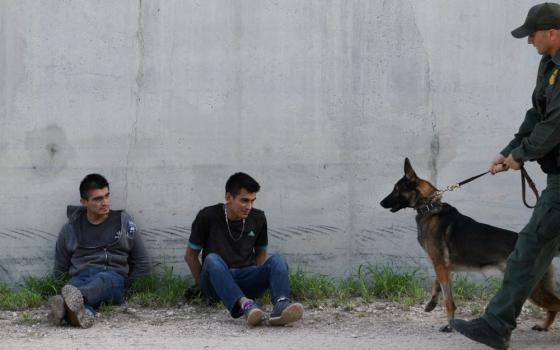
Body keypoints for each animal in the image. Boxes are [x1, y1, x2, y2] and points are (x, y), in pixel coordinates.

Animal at [378, 158, 556, 330]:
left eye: (396, 189)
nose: (381, 203)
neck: (429, 206)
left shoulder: (440, 265)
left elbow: (448, 300)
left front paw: (449, 325)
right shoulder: (442, 266)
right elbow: (437, 284)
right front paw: (432, 303)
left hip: (532, 289)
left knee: (555, 305)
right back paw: (544, 326)